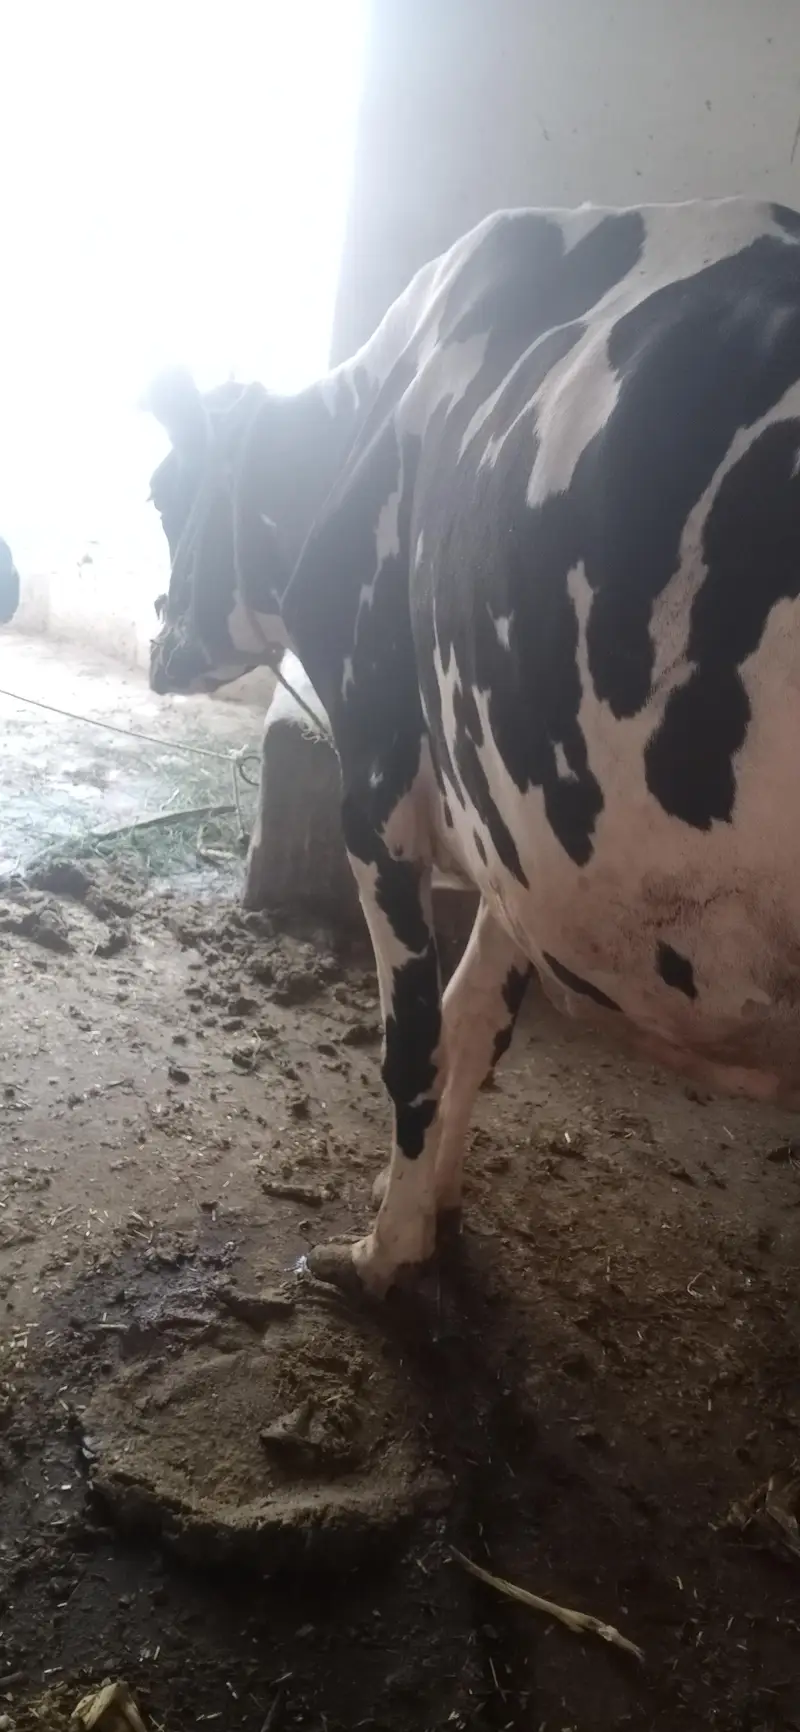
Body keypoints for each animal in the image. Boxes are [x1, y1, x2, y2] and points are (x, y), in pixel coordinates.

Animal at [144, 196, 800, 1297]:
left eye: (160, 492)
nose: (155, 645)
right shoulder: (516, 840)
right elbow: (473, 1020)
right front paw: (429, 1202)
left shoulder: (378, 781)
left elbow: (413, 1038)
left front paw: (383, 1251)